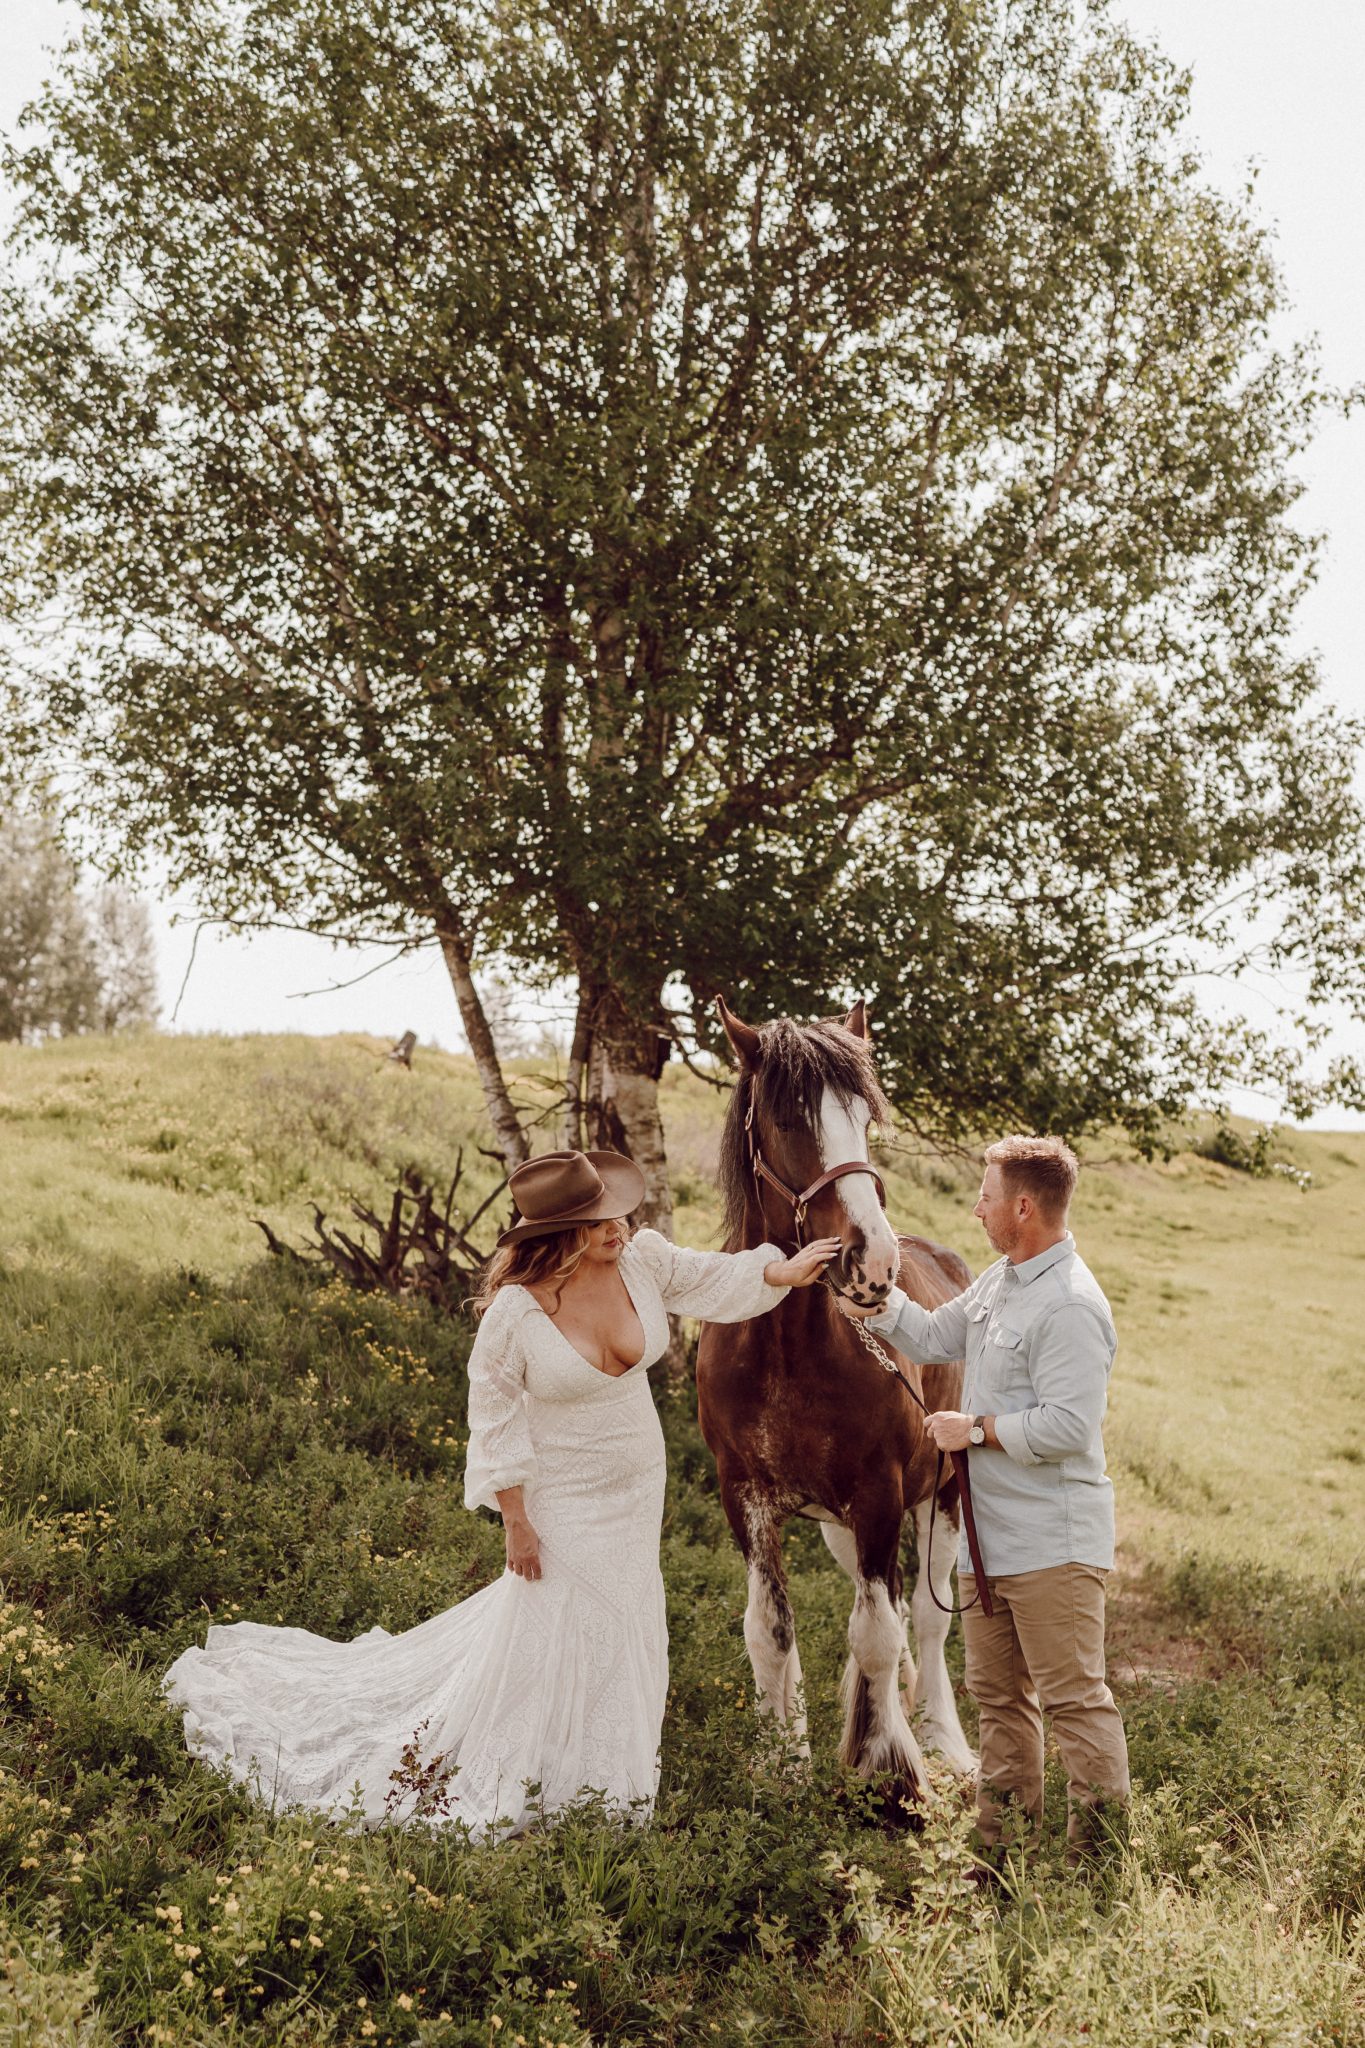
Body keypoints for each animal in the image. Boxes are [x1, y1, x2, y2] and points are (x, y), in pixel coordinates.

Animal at [696, 996, 977, 1800]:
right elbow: (771, 1630)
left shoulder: (881, 1495)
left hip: (942, 1499)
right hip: (840, 1527)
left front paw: (889, 1772)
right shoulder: (747, 1498)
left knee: (926, 1619)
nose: (872, 1263)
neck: (786, 1351)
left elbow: (880, 1633)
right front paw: (783, 1763)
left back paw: (941, 1739)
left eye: (865, 1115)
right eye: (788, 1118)